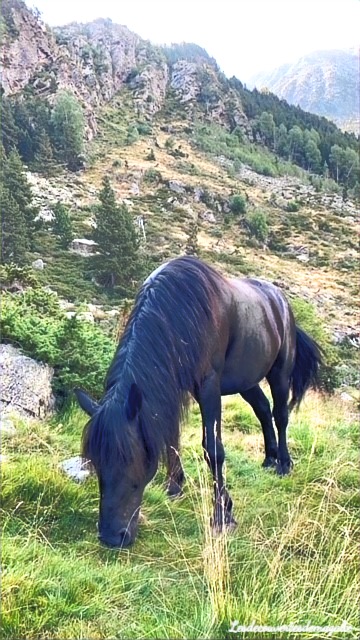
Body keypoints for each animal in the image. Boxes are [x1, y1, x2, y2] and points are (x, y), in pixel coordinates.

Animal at [74, 258, 322, 548]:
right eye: (96, 461)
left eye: (129, 459)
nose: (112, 536)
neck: (178, 311)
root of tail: (280, 300)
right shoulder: (175, 385)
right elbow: (171, 438)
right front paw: (175, 486)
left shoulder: (208, 386)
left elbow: (213, 449)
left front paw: (223, 514)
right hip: (246, 380)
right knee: (262, 409)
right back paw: (269, 459)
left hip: (280, 372)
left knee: (280, 414)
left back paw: (283, 463)